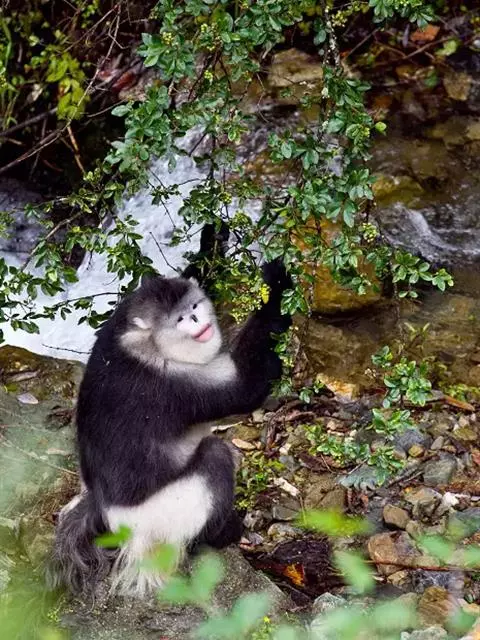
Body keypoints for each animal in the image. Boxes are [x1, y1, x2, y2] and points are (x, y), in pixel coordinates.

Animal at [51, 258, 292, 598]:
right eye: (180, 319)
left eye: (194, 306)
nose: (195, 318)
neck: (144, 343)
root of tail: (116, 522)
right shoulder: (173, 382)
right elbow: (246, 387)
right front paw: (275, 285)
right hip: (167, 516)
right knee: (215, 455)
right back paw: (224, 533)